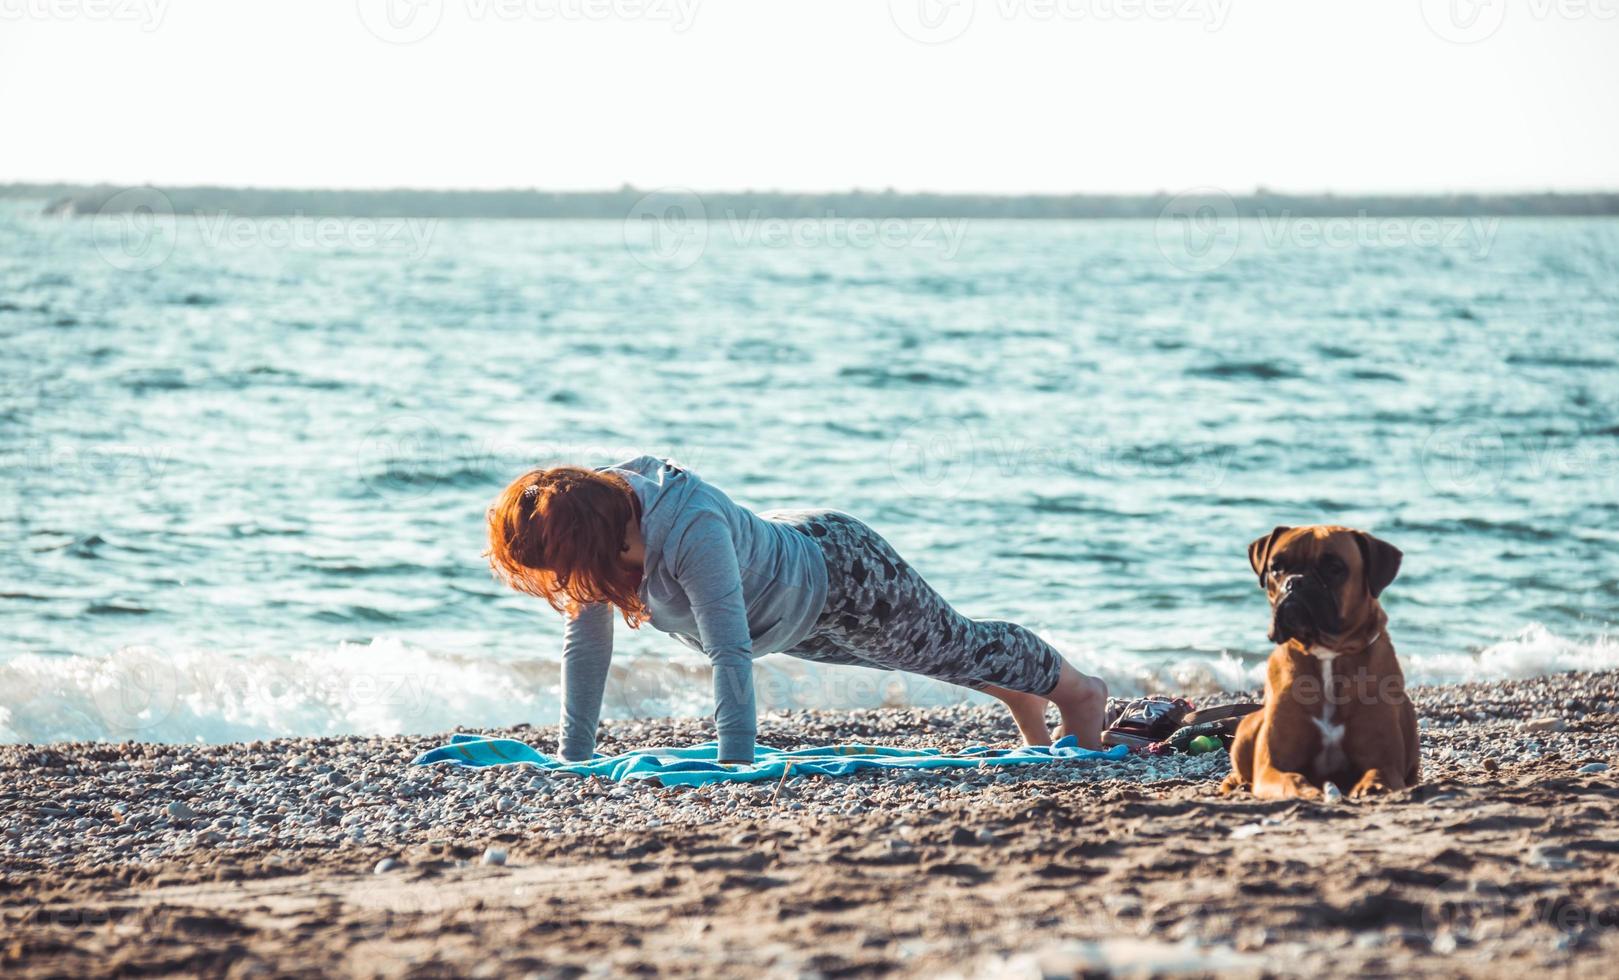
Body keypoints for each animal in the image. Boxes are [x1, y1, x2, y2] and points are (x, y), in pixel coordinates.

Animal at [1223, 524, 1418, 800]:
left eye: (1334, 567)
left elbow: (1378, 772)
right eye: (1276, 567)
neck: (1327, 654)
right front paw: (1307, 790)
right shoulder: (1273, 767)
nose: (1295, 581)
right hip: (1248, 727)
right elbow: (1291, 778)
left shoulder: (1385, 762)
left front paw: (1372, 785)